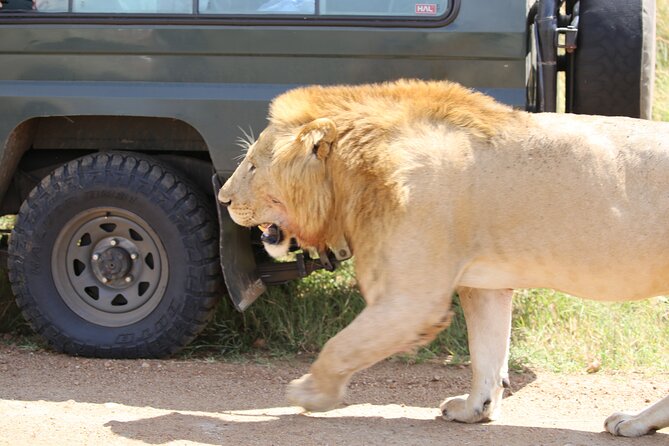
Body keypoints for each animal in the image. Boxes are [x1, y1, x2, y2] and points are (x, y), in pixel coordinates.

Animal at [219, 79, 668, 436]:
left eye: (253, 166)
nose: (223, 199)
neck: (354, 172)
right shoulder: (485, 286)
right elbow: (486, 354)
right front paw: (474, 411)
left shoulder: (411, 300)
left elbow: (340, 346)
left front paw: (309, 392)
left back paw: (634, 422)